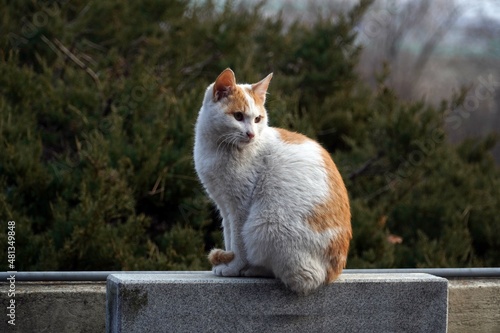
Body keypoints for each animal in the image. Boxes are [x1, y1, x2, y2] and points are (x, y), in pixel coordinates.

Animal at [192, 67, 352, 294]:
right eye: (238, 116)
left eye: (258, 119)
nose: (251, 134)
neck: (219, 149)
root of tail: (332, 273)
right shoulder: (225, 206)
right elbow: (230, 237)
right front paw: (229, 262)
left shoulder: (240, 207)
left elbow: (238, 244)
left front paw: (233, 267)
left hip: (263, 223)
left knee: (298, 276)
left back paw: (252, 270)